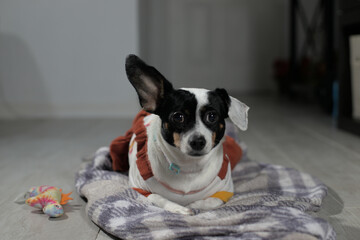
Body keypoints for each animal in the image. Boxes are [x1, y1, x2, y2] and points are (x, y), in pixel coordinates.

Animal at [109, 55, 249, 215]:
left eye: (212, 116)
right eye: (178, 117)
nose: (197, 141)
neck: (189, 167)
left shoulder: (225, 191)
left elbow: (211, 200)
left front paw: (193, 205)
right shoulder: (141, 189)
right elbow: (159, 198)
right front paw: (179, 209)